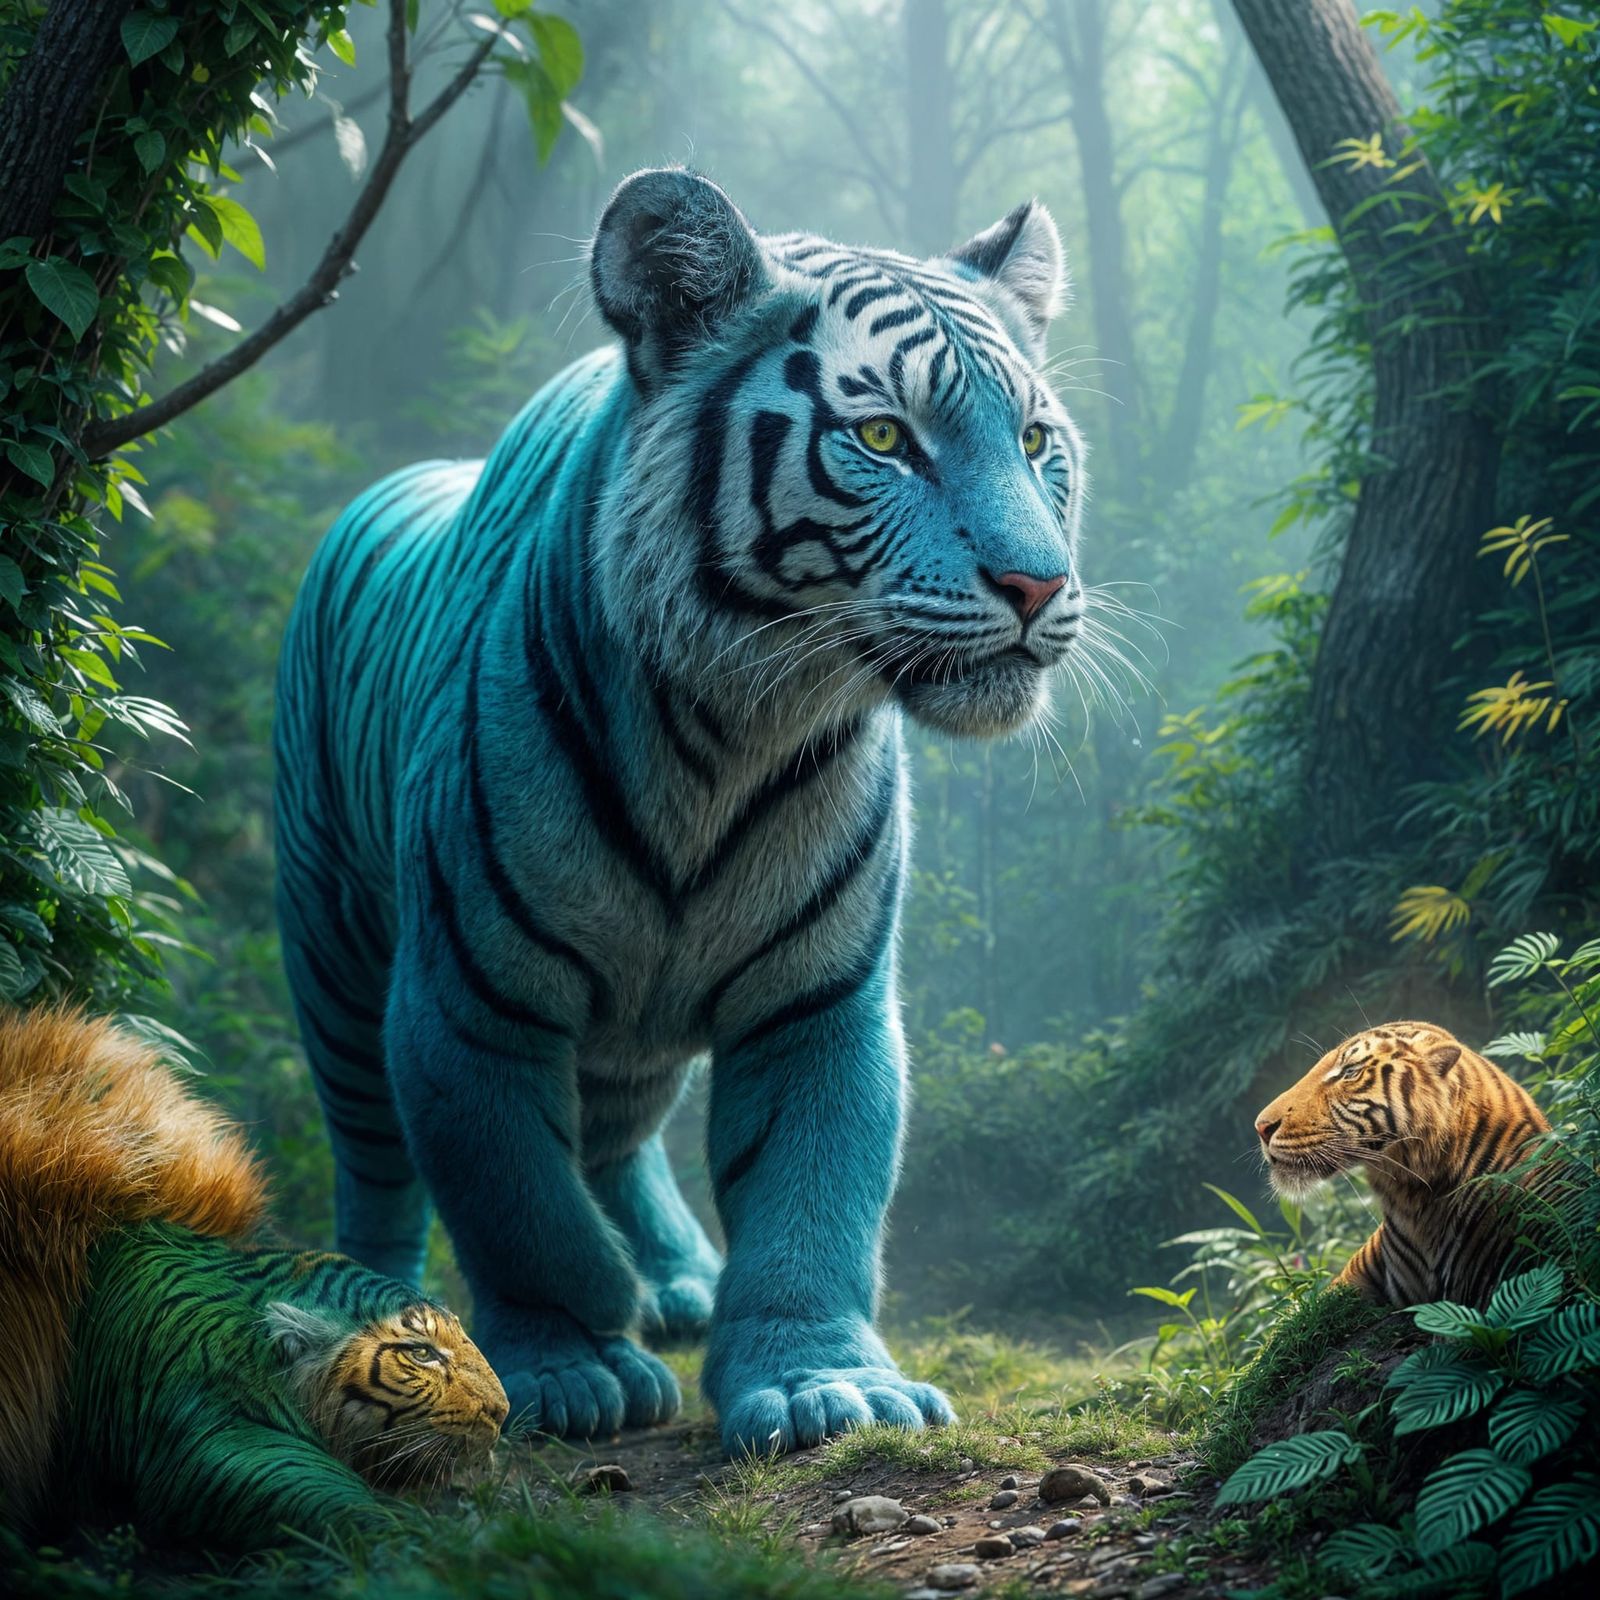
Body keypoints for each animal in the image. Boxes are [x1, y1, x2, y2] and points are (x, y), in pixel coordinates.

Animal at [273, 166, 1087, 1455]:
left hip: (625, 1031)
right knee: (376, 1161)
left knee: (616, 1137)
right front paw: (567, 1364)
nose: (1038, 582)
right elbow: (514, 1196)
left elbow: (814, 1190)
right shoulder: (464, 999)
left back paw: (678, 1279)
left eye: (1035, 439)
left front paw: (822, 1384)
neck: (732, 731)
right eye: (883, 438)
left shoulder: (820, 995)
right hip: (333, 950)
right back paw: (378, 1311)